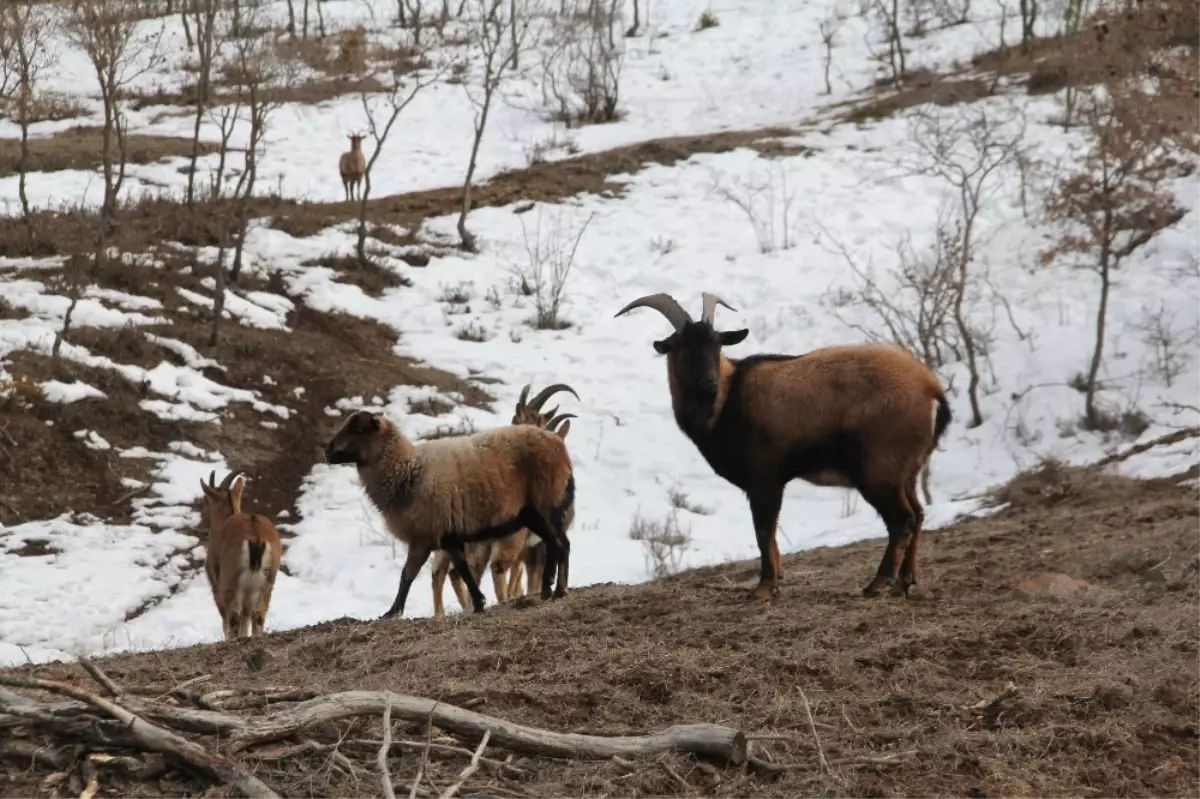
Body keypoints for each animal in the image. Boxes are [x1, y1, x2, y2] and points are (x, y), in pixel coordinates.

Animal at [202, 470, 286, 638]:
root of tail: (256, 534)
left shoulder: (217, 586)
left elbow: (227, 620)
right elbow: (246, 618)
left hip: (230, 581)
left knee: (234, 616)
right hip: (267, 580)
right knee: (258, 614)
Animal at [324, 407, 576, 619]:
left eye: (357, 429)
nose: (327, 451)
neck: (407, 471)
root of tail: (559, 445)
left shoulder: (423, 538)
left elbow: (407, 574)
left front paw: (392, 612)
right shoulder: (448, 537)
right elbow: (462, 570)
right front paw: (478, 603)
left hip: (547, 505)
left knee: (561, 544)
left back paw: (559, 591)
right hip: (533, 516)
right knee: (553, 544)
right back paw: (547, 590)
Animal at [614, 291, 950, 597]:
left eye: (716, 344)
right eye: (682, 348)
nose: (709, 383)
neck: (726, 400)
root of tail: (931, 392)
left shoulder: (765, 477)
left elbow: (764, 530)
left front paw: (764, 587)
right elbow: (771, 531)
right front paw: (776, 580)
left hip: (878, 470)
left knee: (902, 519)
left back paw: (878, 584)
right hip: (906, 472)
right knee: (919, 515)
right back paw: (904, 582)